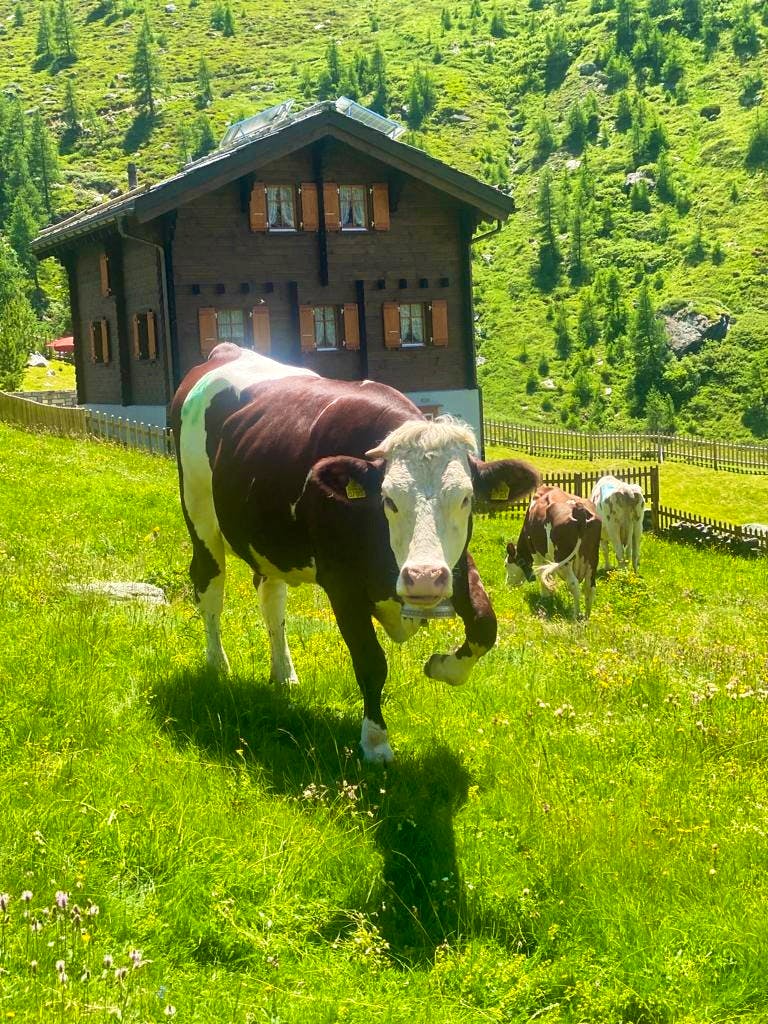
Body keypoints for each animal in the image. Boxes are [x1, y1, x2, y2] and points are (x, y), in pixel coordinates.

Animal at [172, 348, 540, 765]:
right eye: (388, 500)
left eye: (465, 499)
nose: (423, 577)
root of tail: (227, 351)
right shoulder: (342, 585)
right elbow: (370, 661)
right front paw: (376, 742)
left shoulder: (456, 567)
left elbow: (483, 625)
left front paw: (442, 666)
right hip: (199, 514)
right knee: (209, 587)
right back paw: (218, 665)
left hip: (269, 542)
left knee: (271, 600)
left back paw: (284, 673)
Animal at [507, 485, 606, 618]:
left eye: (506, 564)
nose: (507, 584)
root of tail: (579, 510)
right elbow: (549, 575)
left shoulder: (536, 553)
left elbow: (542, 573)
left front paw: (545, 597)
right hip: (592, 559)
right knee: (590, 587)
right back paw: (586, 617)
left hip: (564, 561)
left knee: (574, 584)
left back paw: (575, 616)